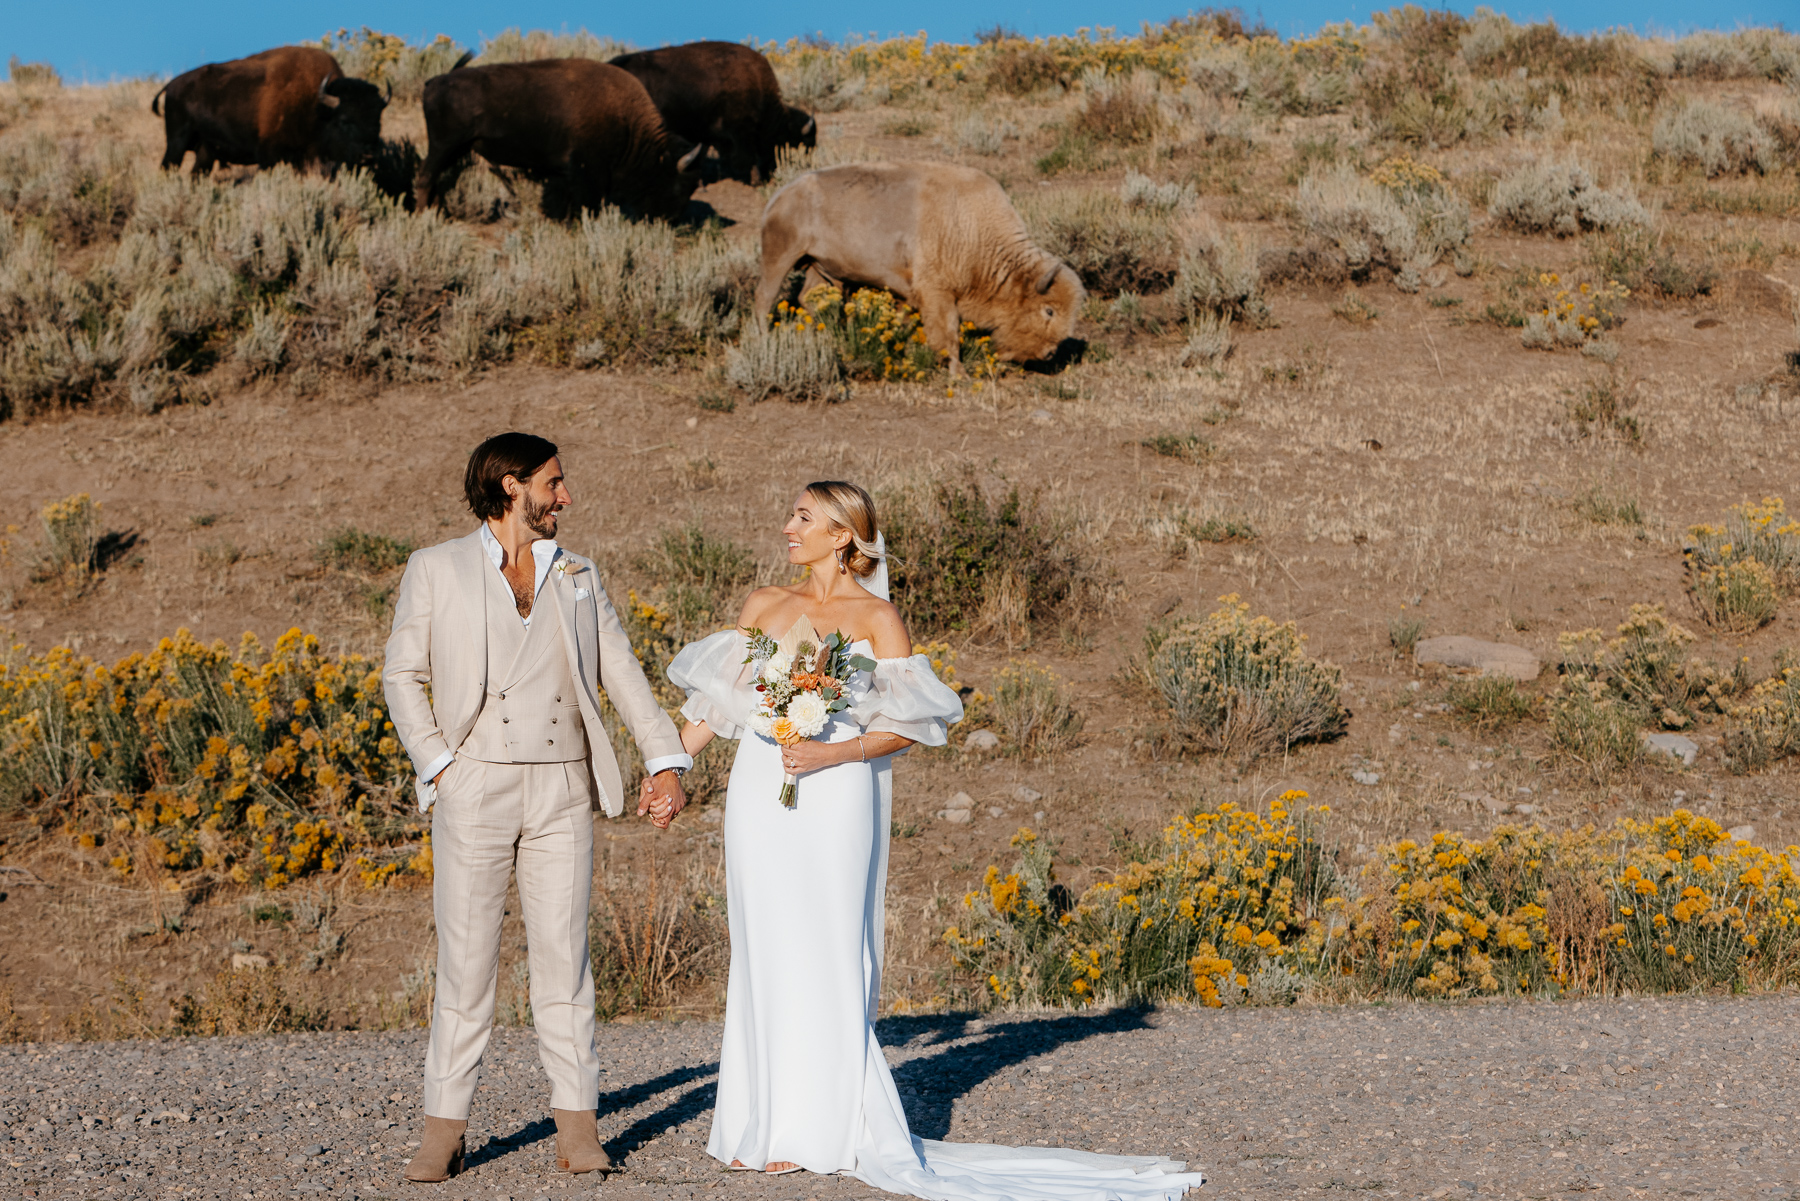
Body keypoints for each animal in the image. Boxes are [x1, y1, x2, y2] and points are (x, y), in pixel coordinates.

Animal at [151, 45, 387, 173]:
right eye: (345, 120)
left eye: (378, 120)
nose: (369, 154)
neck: (317, 107)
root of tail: (171, 85)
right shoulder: (269, 156)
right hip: (177, 144)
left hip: (205, 153)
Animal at [414, 56, 702, 220]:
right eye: (680, 183)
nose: (672, 219)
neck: (628, 120)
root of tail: (434, 82)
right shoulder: (588, 171)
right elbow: (587, 204)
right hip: (443, 145)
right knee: (425, 176)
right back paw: (423, 216)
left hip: (458, 148)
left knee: (434, 177)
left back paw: (437, 214)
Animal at [756, 162, 1080, 372]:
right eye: (1049, 310)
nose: (1049, 353)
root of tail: (781, 195)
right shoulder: (938, 293)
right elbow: (947, 333)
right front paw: (956, 371)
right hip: (780, 257)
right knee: (764, 298)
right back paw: (764, 338)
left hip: (823, 271)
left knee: (810, 299)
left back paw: (827, 335)